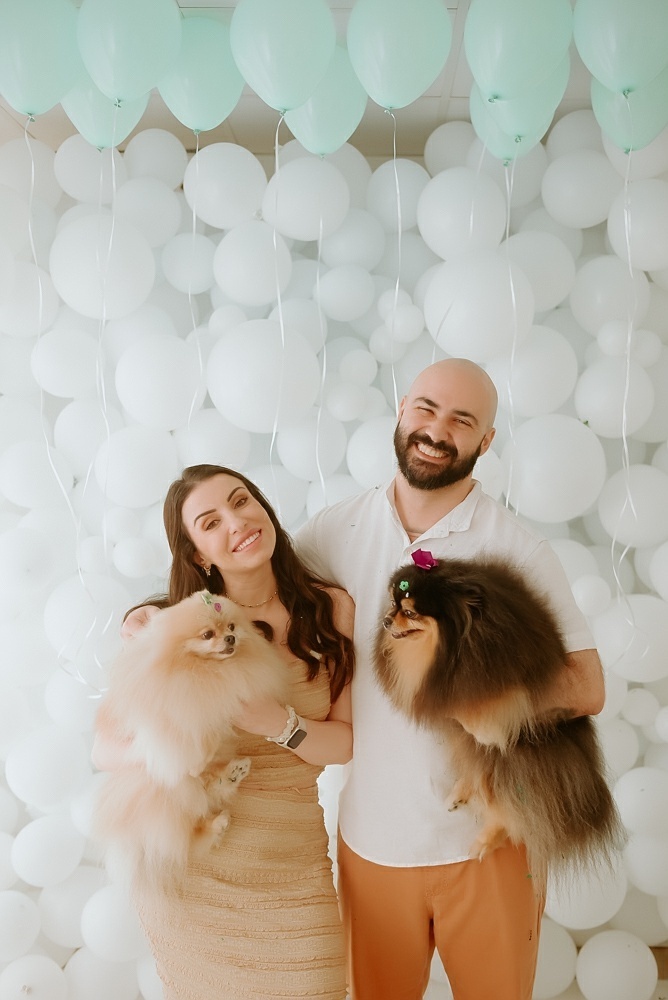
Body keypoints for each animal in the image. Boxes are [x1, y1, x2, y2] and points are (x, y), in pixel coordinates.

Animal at [93, 590, 290, 895]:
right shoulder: (167, 714)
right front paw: (195, 760)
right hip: (162, 795)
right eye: (208, 634)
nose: (230, 639)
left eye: (232, 627)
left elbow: (210, 733)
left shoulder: (215, 708)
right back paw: (215, 817)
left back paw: (230, 777)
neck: (204, 670)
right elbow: (186, 739)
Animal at [374, 551, 624, 886]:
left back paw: (485, 839)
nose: (387, 620)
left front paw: (484, 724)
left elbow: (495, 706)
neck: (454, 645)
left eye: (410, 612)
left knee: (513, 808)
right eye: (392, 602)